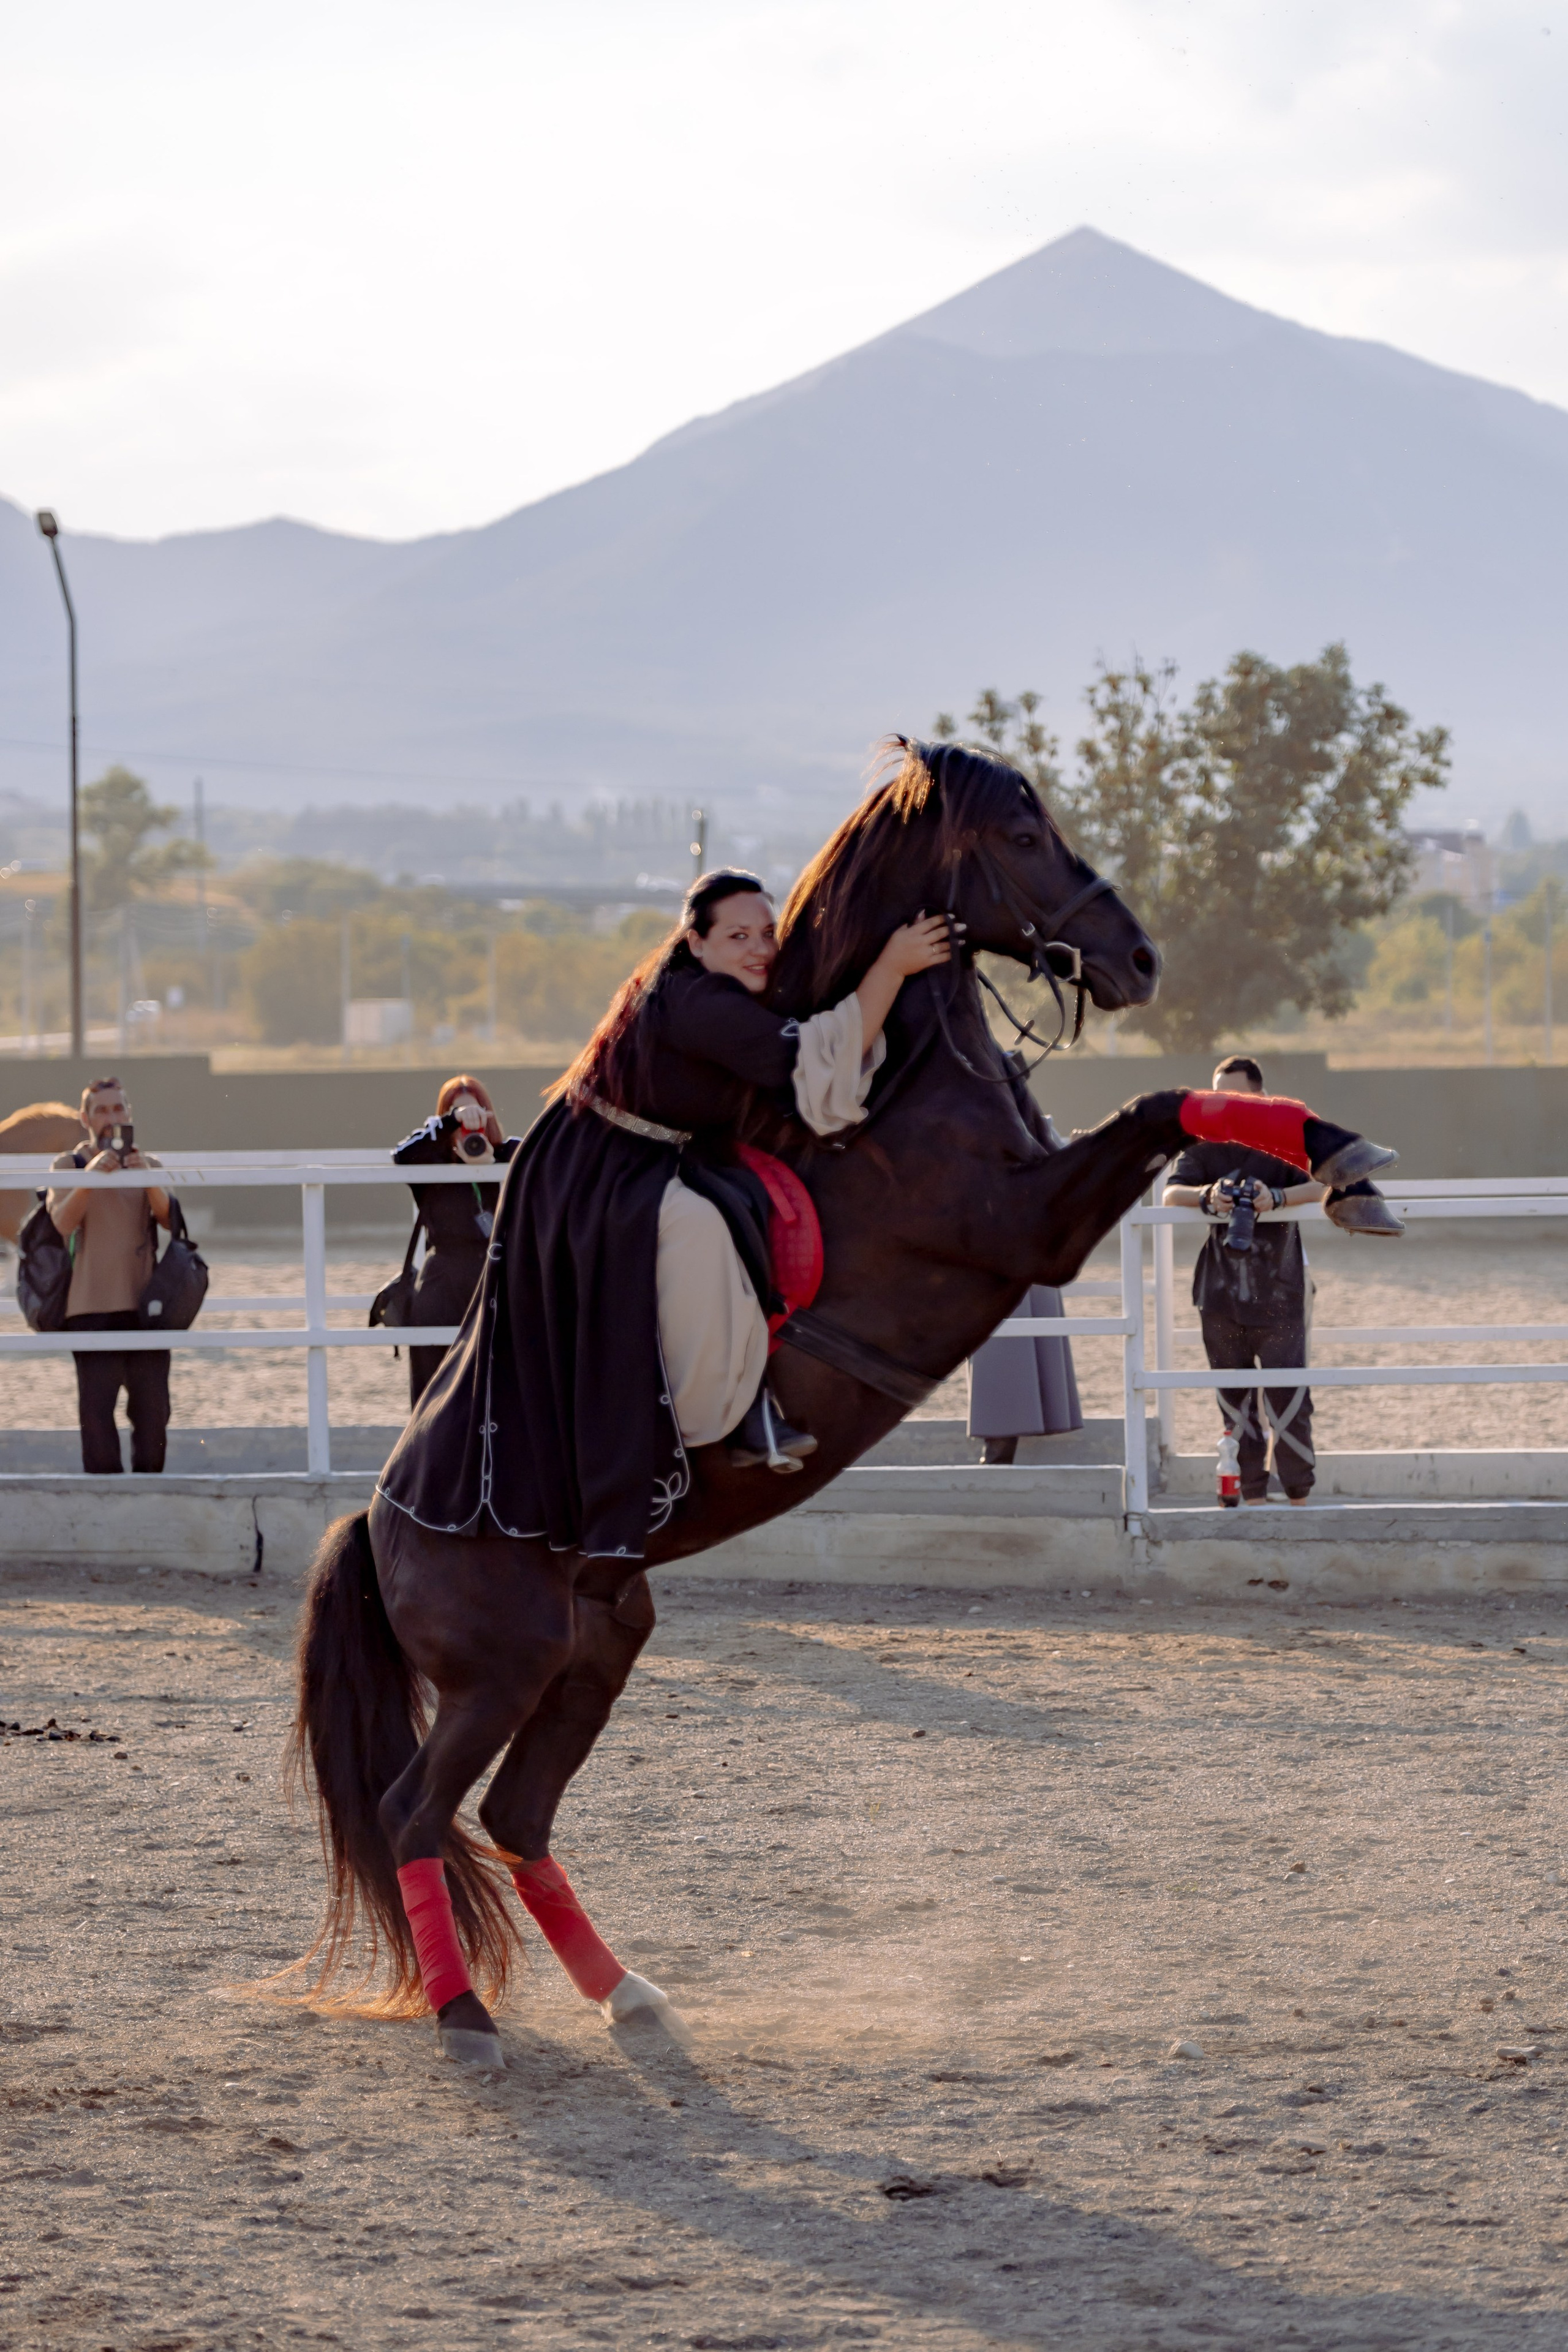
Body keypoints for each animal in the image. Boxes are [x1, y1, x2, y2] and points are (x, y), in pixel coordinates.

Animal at [290, 740, 1396, 2066]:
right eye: (1022, 838)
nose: (1137, 959)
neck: (903, 1087)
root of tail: (379, 1522)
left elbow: (1173, 1108)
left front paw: (1339, 1160)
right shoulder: (1021, 1225)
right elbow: (1162, 1106)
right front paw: (1341, 1156)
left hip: (596, 1642)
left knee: (517, 1815)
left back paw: (628, 1992)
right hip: (500, 1670)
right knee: (416, 1810)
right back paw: (464, 2013)